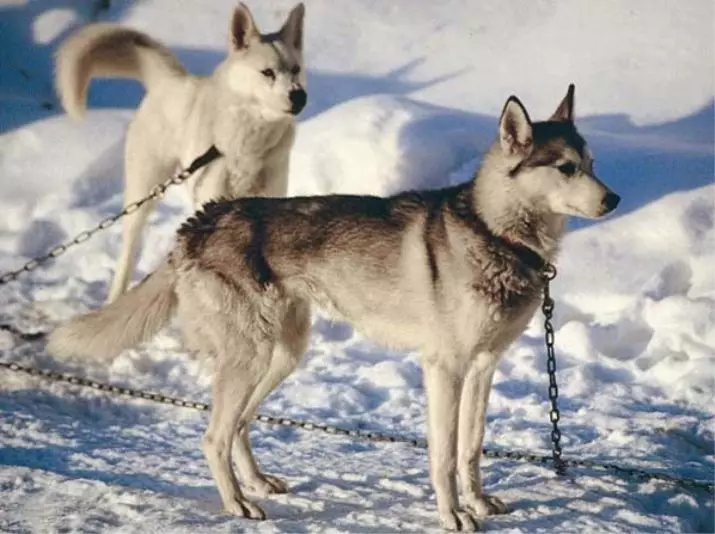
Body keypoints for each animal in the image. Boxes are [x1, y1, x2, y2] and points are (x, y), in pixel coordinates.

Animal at [49, 87, 620, 532]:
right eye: (566, 168)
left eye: (592, 165)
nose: (613, 199)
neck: (499, 235)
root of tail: (199, 222)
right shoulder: (445, 369)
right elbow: (442, 455)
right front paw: (453, 515)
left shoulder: (483, 368)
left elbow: (471, 447)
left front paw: (478, 503)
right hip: (252, 357)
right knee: (213, 436)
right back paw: (238, 504)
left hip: (281, 356)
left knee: (238, 426)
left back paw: (257, 482)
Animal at [56, 2, 308, 304]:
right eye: (267, 72)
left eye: (295, 69)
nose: (299, 96)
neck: (248, 144)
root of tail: (168, 79)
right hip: (142, 195)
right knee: (128, 253)